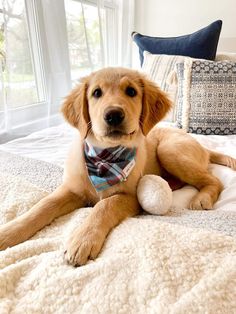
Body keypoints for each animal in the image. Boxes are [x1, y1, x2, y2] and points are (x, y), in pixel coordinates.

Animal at [0, 68, 236, 264]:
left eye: (131, 91)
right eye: (96, 93)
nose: (113, 115)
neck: (104, 157)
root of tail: (203, 147)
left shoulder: (131, 197)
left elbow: (105, 205)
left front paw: (83, 239)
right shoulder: (72, 189)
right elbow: (43, 206)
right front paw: (9, 233)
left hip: (170, 151)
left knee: (215, 180)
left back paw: (202, 197)